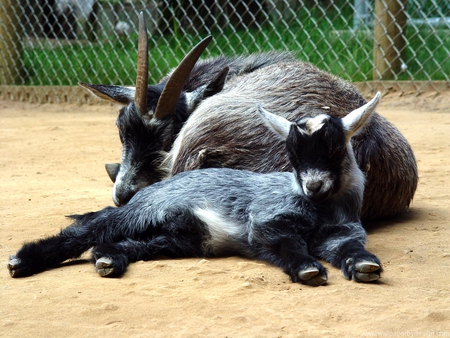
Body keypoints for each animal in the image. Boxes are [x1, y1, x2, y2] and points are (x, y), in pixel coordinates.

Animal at [7, 92, 384, 286]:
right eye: (291, 154)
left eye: (335, 148)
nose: (313, 185)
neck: (321, 209)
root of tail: (157, 186)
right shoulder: (265, 221)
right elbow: (286, 244)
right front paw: (308, 269)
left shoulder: (343, 231)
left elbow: (350, 248)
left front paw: (366, 265)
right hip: (142, 213)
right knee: (87, 231)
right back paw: (22, 261)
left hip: (182, 236)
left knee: (124, 243)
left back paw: (108, 259)